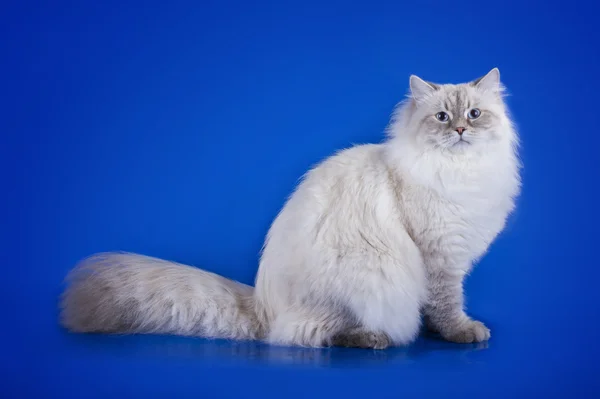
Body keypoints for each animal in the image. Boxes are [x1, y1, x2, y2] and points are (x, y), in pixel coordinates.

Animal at [62, 69, 520, 350]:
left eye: (474, 115)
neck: (460, 174)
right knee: (308, 334)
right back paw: (375, 339)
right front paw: (461, 332)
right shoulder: (439, 256)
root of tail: (264, 306)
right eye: (442, 117)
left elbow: (440, 306)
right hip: (364, 279)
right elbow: (447, 304)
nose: (459, 130)